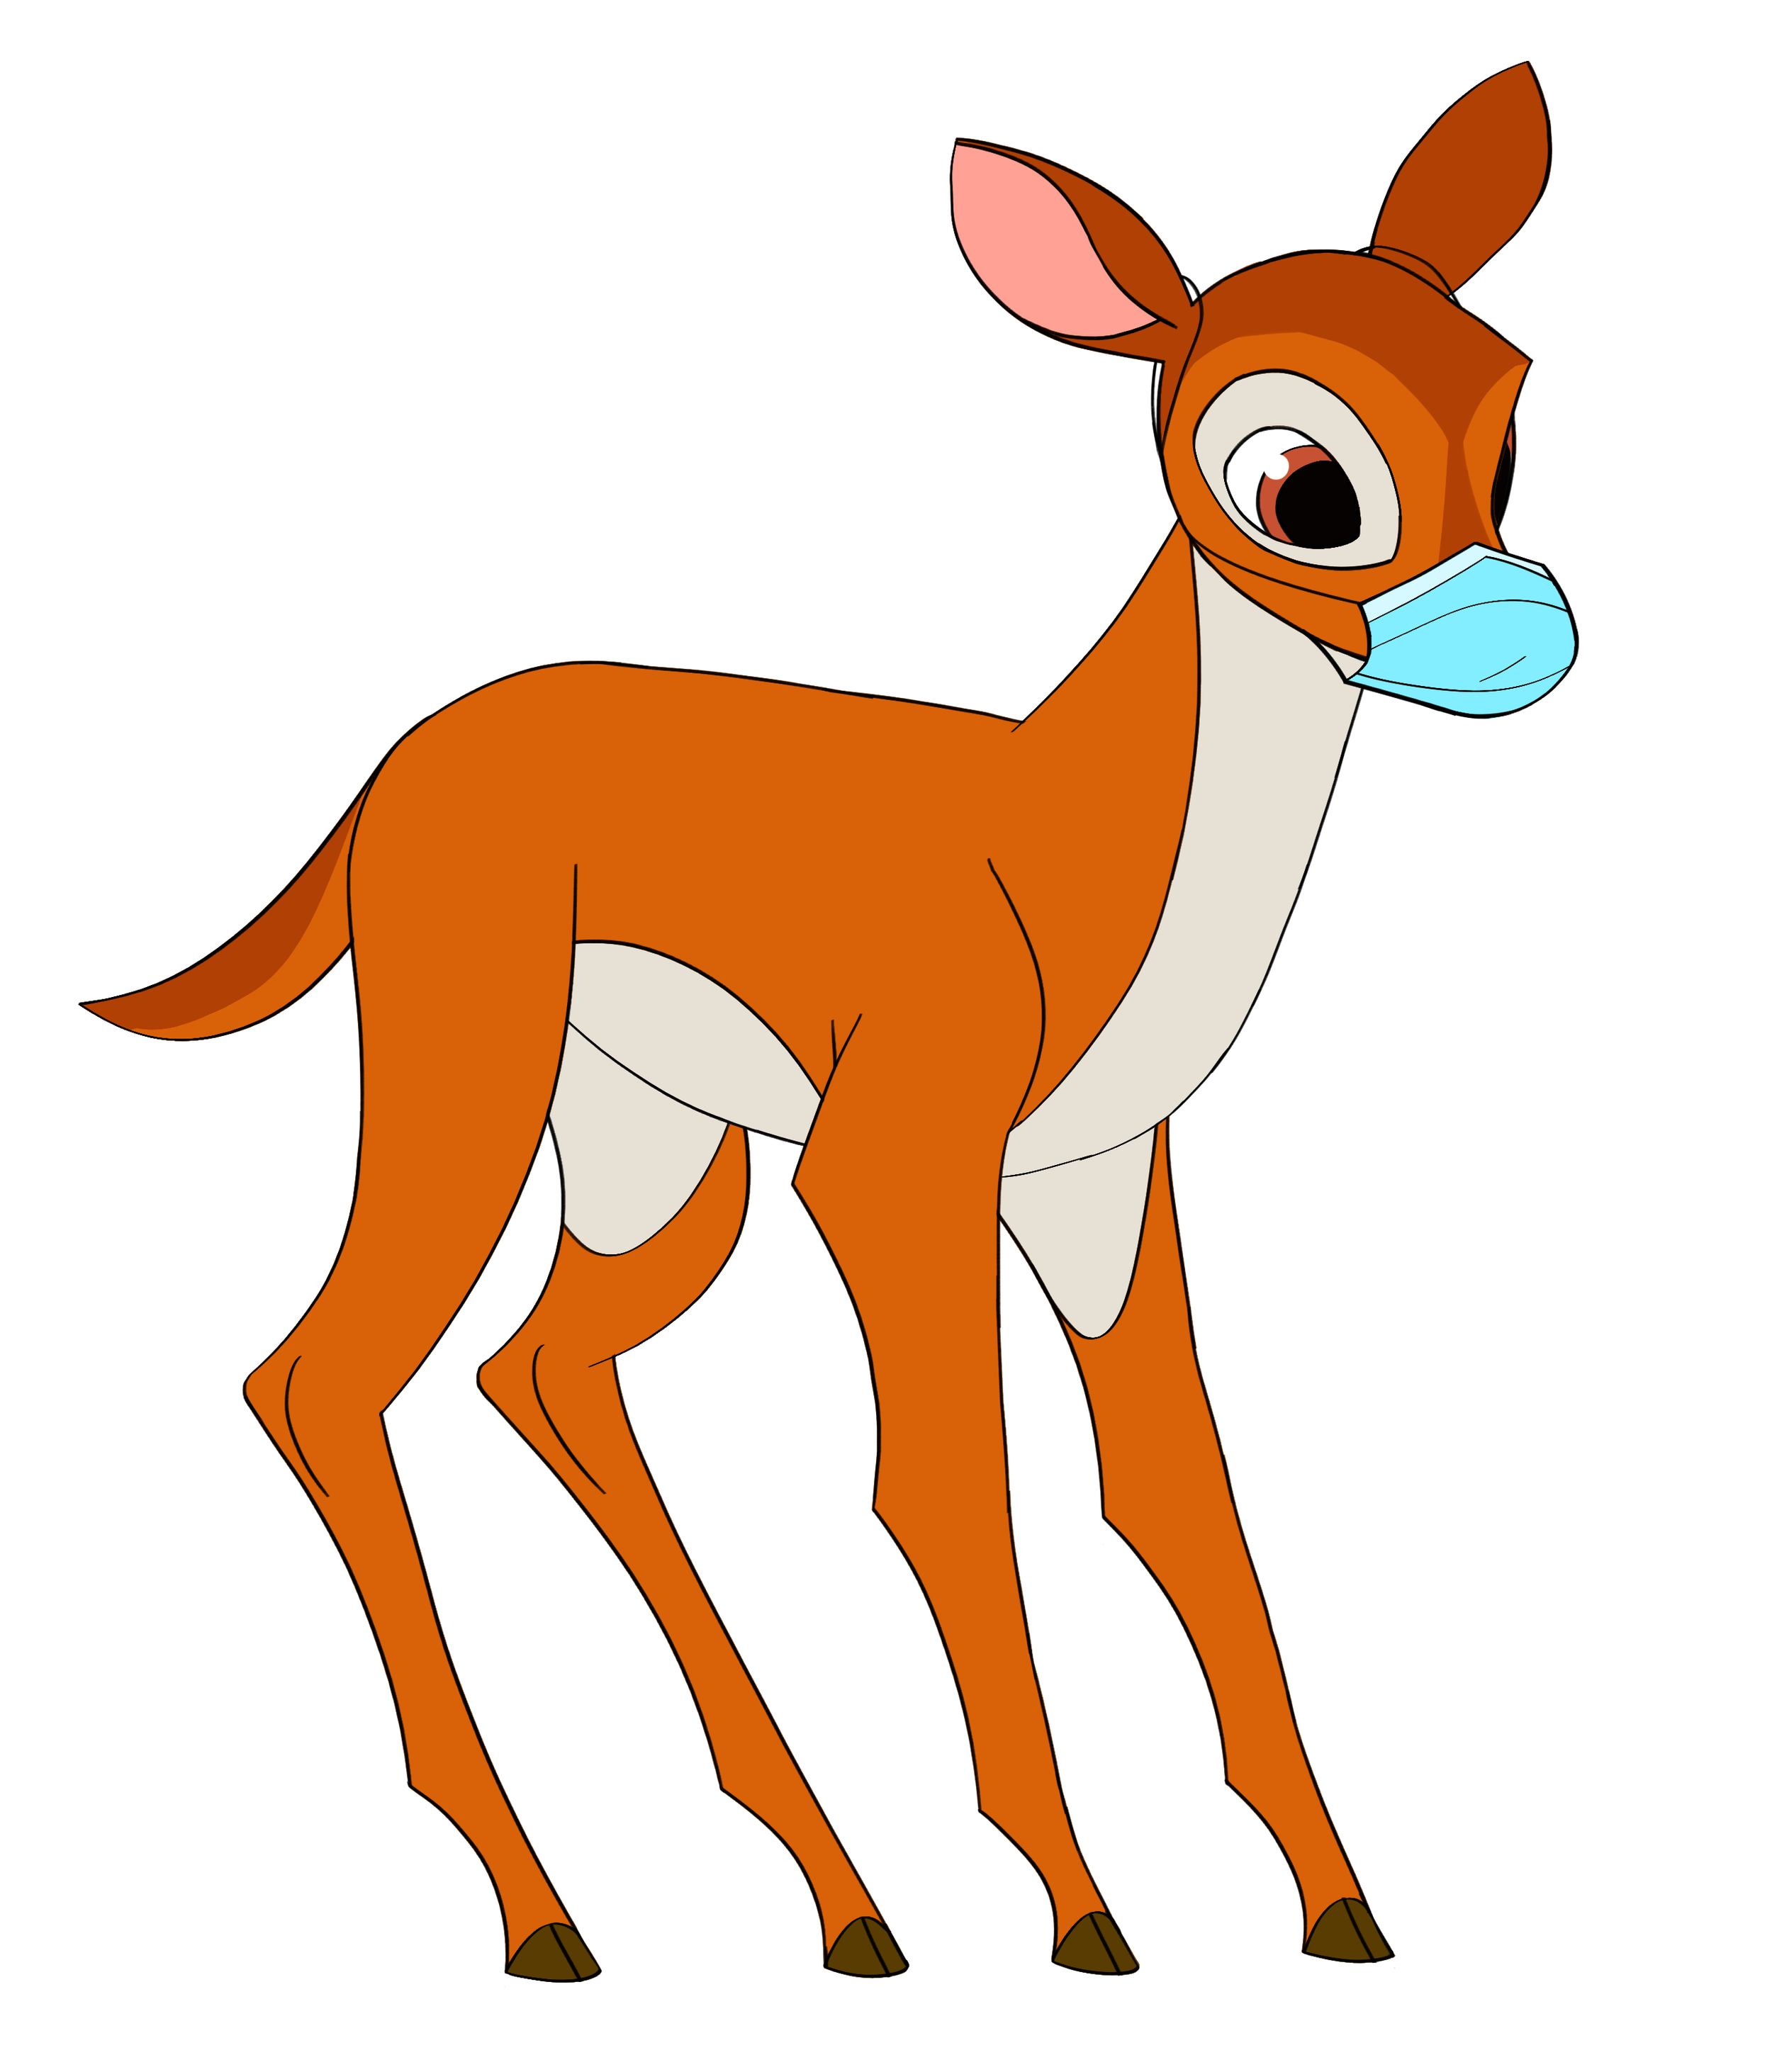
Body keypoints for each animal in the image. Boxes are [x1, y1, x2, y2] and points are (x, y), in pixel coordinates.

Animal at [82, 64, 1575, 1993]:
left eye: (1510, 411)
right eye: (1298, 481)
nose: (1523, 641)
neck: (1069, 848)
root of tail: (395, 771)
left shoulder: (1092, 1179)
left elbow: (1182, 1493)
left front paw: (1337, 1900)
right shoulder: (898, 1164)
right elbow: (944, 1483)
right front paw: (1087, 1911)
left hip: (660, 1153)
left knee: (536, 1365)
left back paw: (845, 1899)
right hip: (467, 1072)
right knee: (326, 1373)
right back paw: (550, 1916)